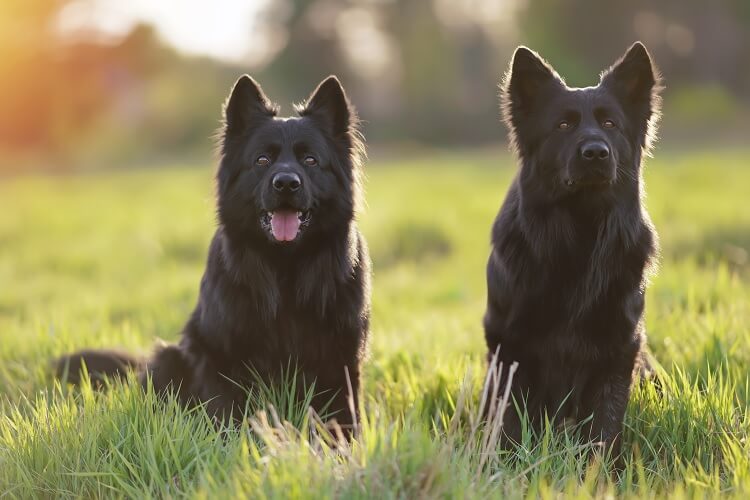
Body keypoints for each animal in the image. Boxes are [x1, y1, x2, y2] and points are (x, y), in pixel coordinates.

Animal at [59, 75, 374, 430]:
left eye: (310, 160)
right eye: (262, 160)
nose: (285, 183)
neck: (284, 267)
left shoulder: (342, 360)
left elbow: (344, 420)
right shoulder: (220, 356)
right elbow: (227, 414)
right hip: (169, 357)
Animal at [482, 43, 664, 458]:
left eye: (610, 124)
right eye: (563, 126)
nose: (595, 153)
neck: (581, 231)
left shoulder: (619, 348)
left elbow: (605, 427)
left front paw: (602, 470)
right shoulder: (508, 346)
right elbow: (510, 423)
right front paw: (506, 463)